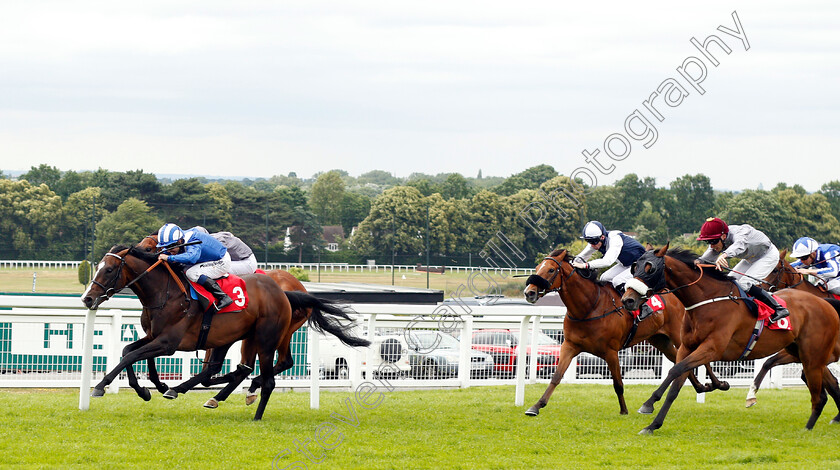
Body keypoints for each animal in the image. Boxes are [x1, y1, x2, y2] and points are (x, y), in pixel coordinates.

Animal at [520, 248, 724, 416]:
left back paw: (718, 383)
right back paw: (701, 387)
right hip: (660, 340)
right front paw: (536, 406)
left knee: (701, 359)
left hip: (679, 336)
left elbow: (618, 384)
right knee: (679, 361)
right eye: (537, 267)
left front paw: (624, 410)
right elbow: (556, 376)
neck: (589, 308)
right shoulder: (570, 346)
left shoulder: (611, 351)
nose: (529, 292)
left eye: (551, 270)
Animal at [624, 246, 840, 434]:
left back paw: (808, 428)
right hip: (803, 354)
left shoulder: (712, 349)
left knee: (819, 395)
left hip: (813, 357)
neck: (707, 301)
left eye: (650, 268)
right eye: (635, 266)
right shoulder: (687, 348)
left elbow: (675, 370)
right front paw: (653, 424)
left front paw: (649, 403)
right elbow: (675, 385)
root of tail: (826, 304)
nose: (627, 300)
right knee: (825, 390)